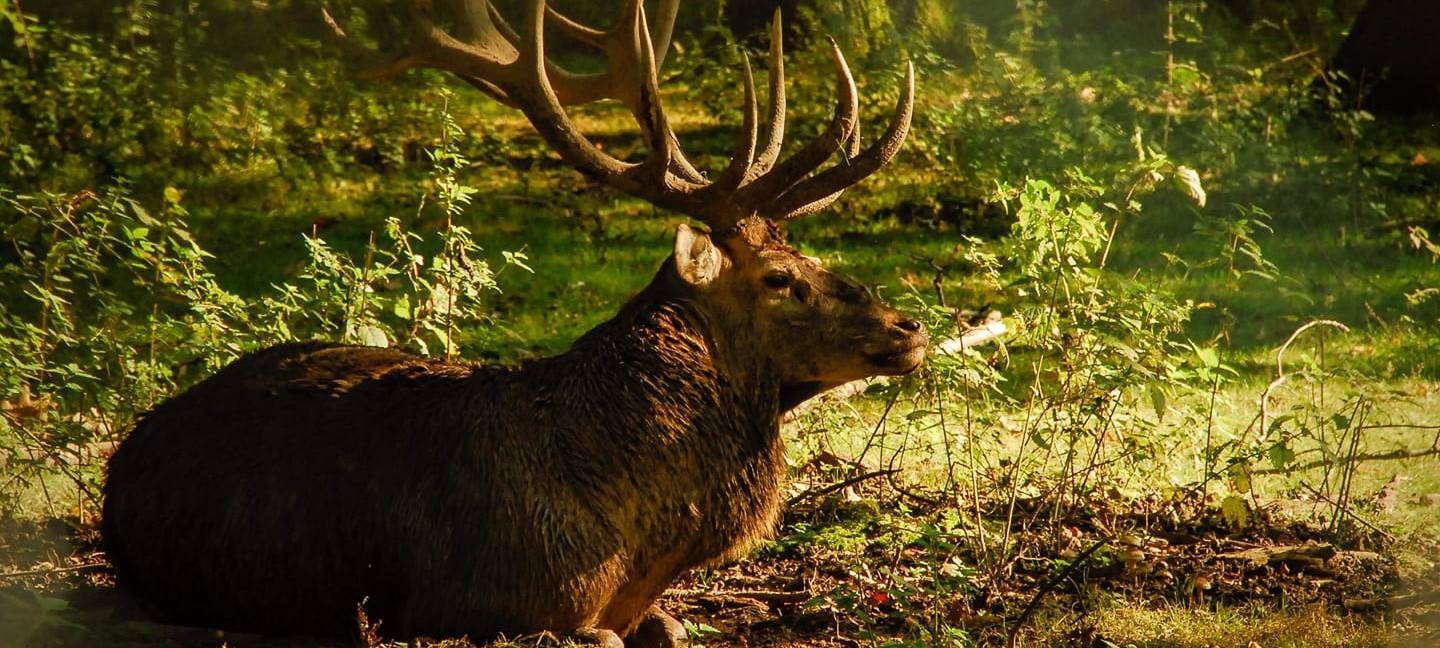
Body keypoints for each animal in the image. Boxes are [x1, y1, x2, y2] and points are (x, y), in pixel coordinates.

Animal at [100, 1, 925, 645]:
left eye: (810, 253)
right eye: (781, 279)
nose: (908, 327)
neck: (639, 536)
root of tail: (125, 458)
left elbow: (672, 628)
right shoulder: (474, 601)